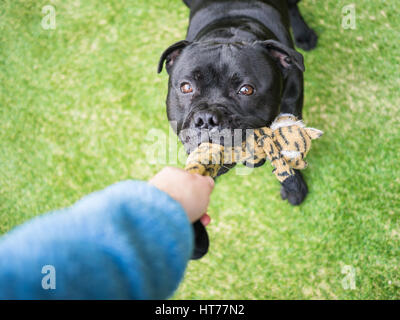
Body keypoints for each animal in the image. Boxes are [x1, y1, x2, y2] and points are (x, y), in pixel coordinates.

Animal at [158, 0, 318, 258]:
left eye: (246, 90)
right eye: (186, 87)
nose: (207, 118)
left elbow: (285, 148)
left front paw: (293, 187)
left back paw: (304, 34)